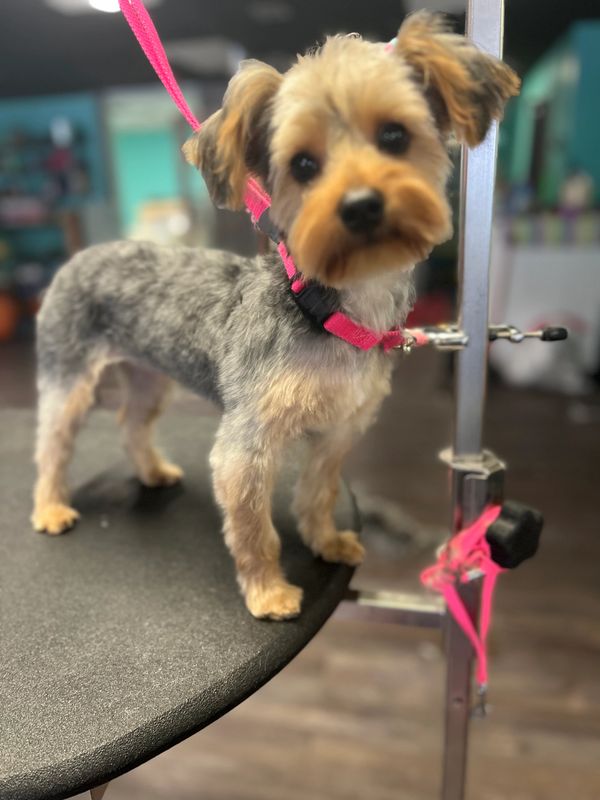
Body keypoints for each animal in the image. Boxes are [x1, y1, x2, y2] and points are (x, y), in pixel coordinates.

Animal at [32, 14, 516, 620]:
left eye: (394, 136)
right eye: (303, 165)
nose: (361, 205)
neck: (333, 310)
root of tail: (81, 254)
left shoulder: (339, 431)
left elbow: (319, 492)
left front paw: (325, 539)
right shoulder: (247, 447)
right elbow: (253, 529)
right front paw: (268, 591)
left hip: (147, 374)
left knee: (131, 420)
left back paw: (151, 469)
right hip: (68, 372)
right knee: (53, 439)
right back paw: (50, 507)